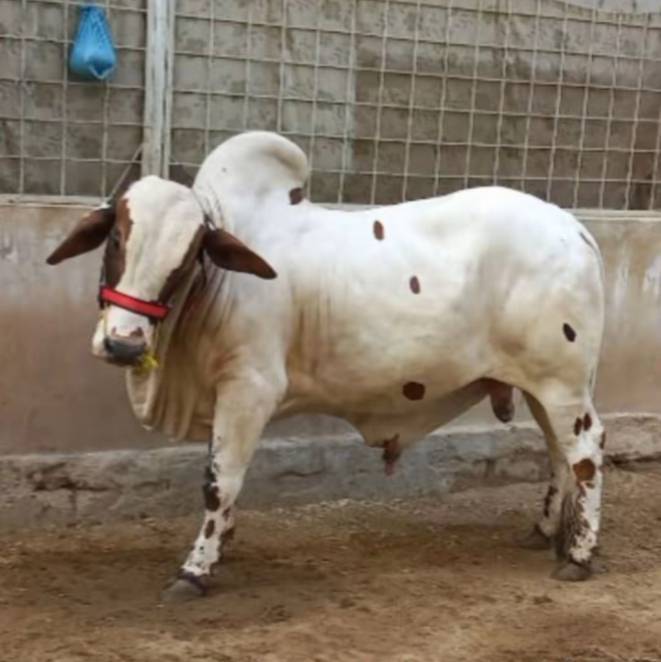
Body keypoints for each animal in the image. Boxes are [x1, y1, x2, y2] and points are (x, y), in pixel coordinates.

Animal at [46, 131, 606, 600]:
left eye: (186, 258)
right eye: (116, 239)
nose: (123, 344)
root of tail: (576, 230)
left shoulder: (249, 387)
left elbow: (219, 479)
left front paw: (196, 569)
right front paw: (223, 543)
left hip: (561, 384)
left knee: (585, 452)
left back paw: (578, 555)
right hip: (540, 386)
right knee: (558, 453)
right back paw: (545, 532)